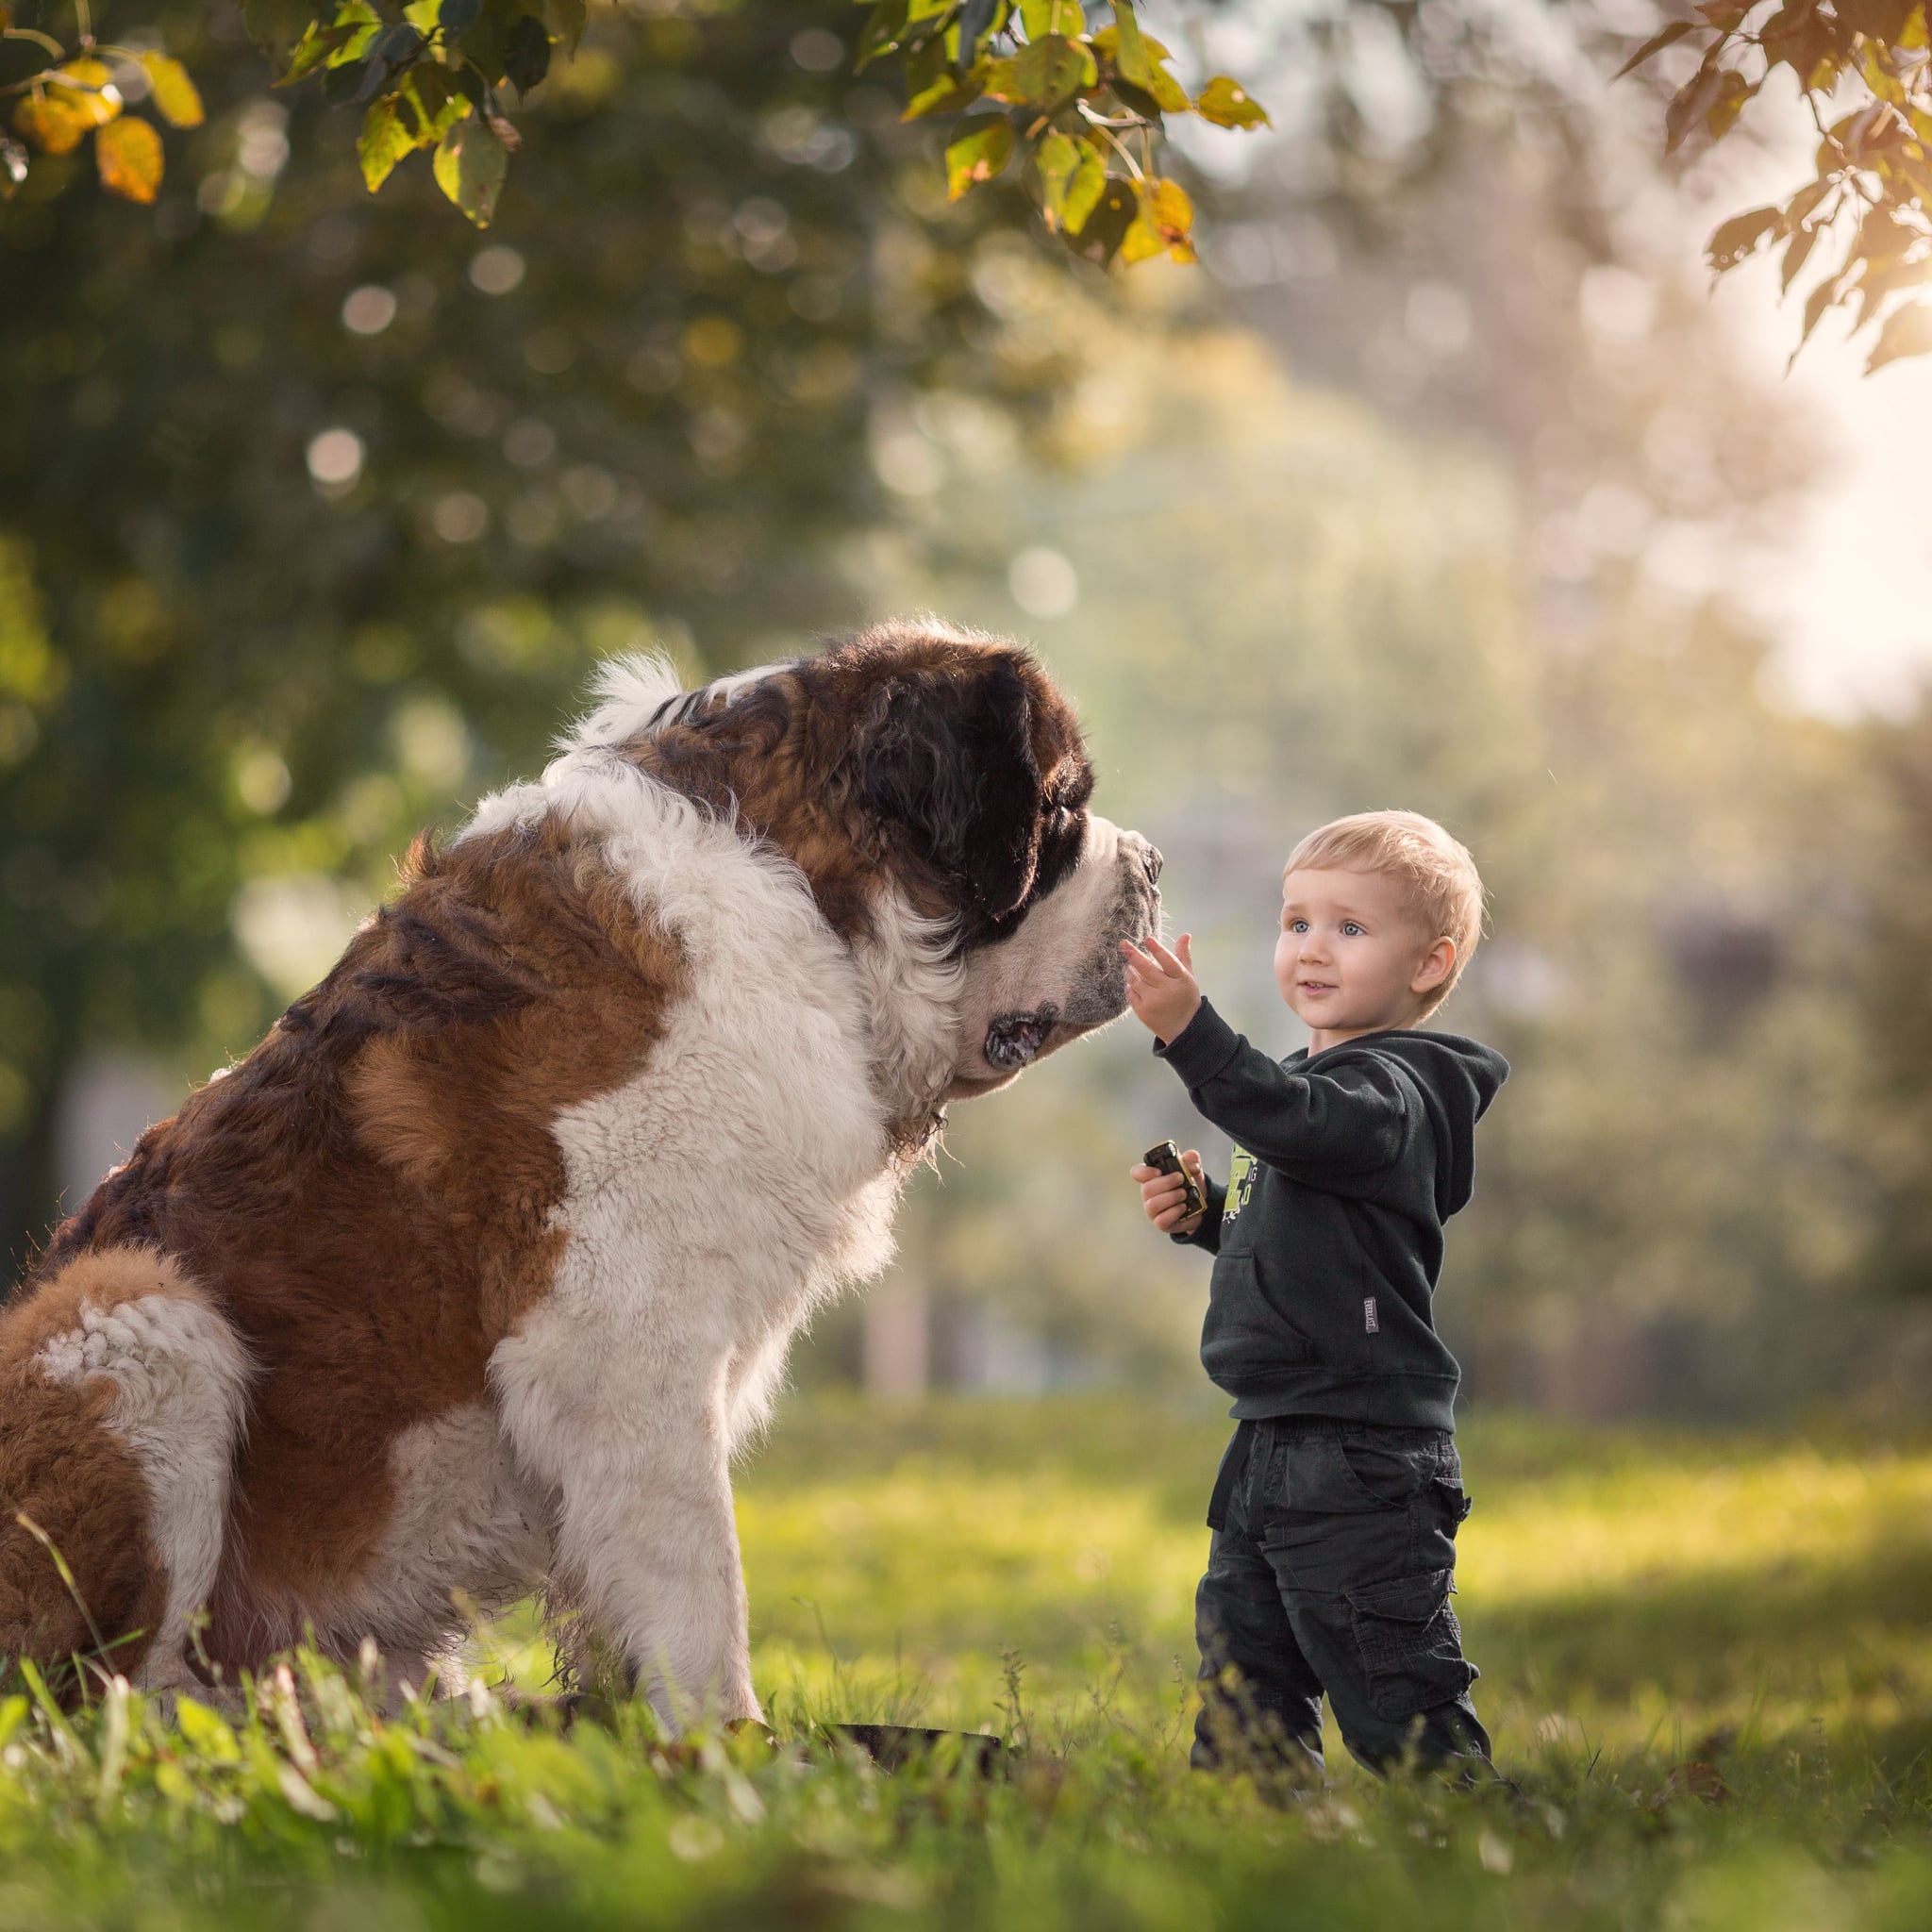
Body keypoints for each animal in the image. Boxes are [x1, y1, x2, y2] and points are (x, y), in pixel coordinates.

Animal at [0, 618, 1158, 1723]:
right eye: (1061, 810)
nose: (1151, 864)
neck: (804, 891)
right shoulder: (621, 1346)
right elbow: (699, 1582)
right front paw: (737, 1753)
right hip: (140, 1313)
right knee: (97, 1701)